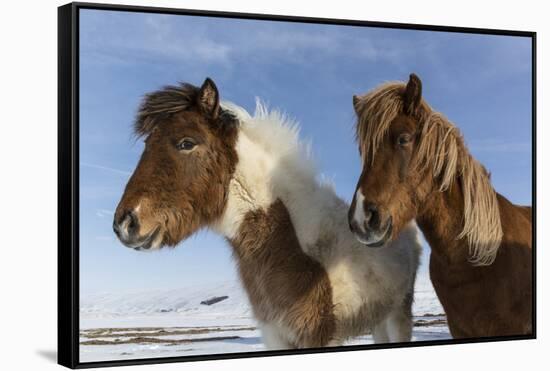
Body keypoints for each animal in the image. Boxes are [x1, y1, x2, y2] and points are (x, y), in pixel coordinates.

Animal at [113, 77, 422, 348]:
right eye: (146, 145)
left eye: (186, 143)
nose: (125, 223)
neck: (292, 245)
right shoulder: (275, 334)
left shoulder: (318, 336)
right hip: (378, 317)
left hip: (399, 312)